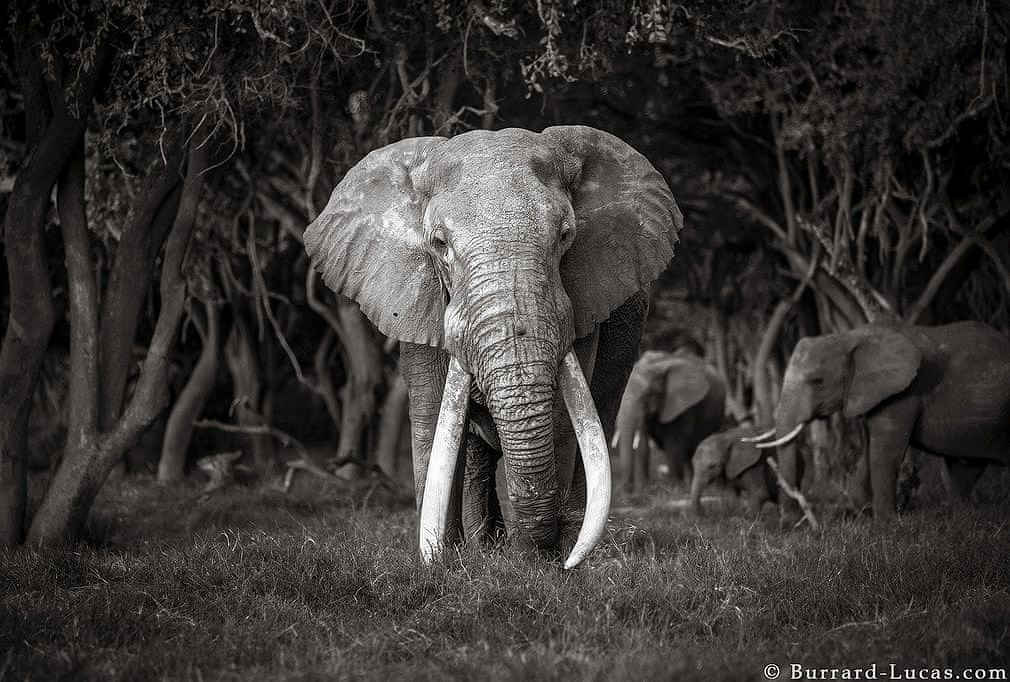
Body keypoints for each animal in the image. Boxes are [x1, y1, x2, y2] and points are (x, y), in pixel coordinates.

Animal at [303, 126, 682, 568]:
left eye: (566, 236)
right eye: (439, 244)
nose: (537, 554)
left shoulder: (585, 299)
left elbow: (562, 416)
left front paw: (538, 563)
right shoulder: (418, 299)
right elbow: (433, 416)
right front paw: (442, 563)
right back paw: (484, 547)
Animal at [612, 349, 726, 493]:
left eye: (648, 395)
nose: (627, 489)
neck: (657, 365)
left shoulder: (684, 406)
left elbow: (673, 444)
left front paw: (673, 488)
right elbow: (643, 444)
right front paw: (644, 490)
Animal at [751, 321, 1010, 518]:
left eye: (817, 381)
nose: (791, 522)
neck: (851, 337)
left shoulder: (905, 392)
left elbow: (884, 454)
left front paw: (887, 524)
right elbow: (868, 451)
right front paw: (867, 510)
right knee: (963, 469)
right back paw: (964, 516)